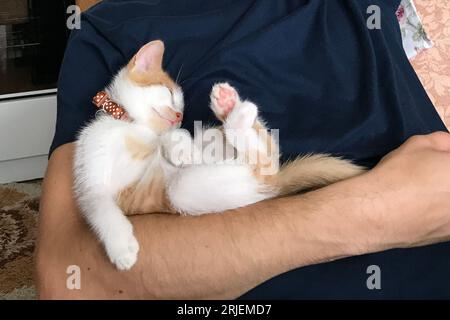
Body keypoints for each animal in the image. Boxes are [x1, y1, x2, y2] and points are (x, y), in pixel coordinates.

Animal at [74, 39, 362, 270]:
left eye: (180, 108)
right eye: (169, 93)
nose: (178, 116)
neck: (129, 125)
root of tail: (278, 184)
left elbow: (169, 137)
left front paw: (180, 146)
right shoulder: (89, 183)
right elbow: (100, 208)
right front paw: (121, 247)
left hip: (205, 155)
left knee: (266, 152)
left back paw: (229, 107)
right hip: (183, 190)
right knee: (263, 160)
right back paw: (235, 112)